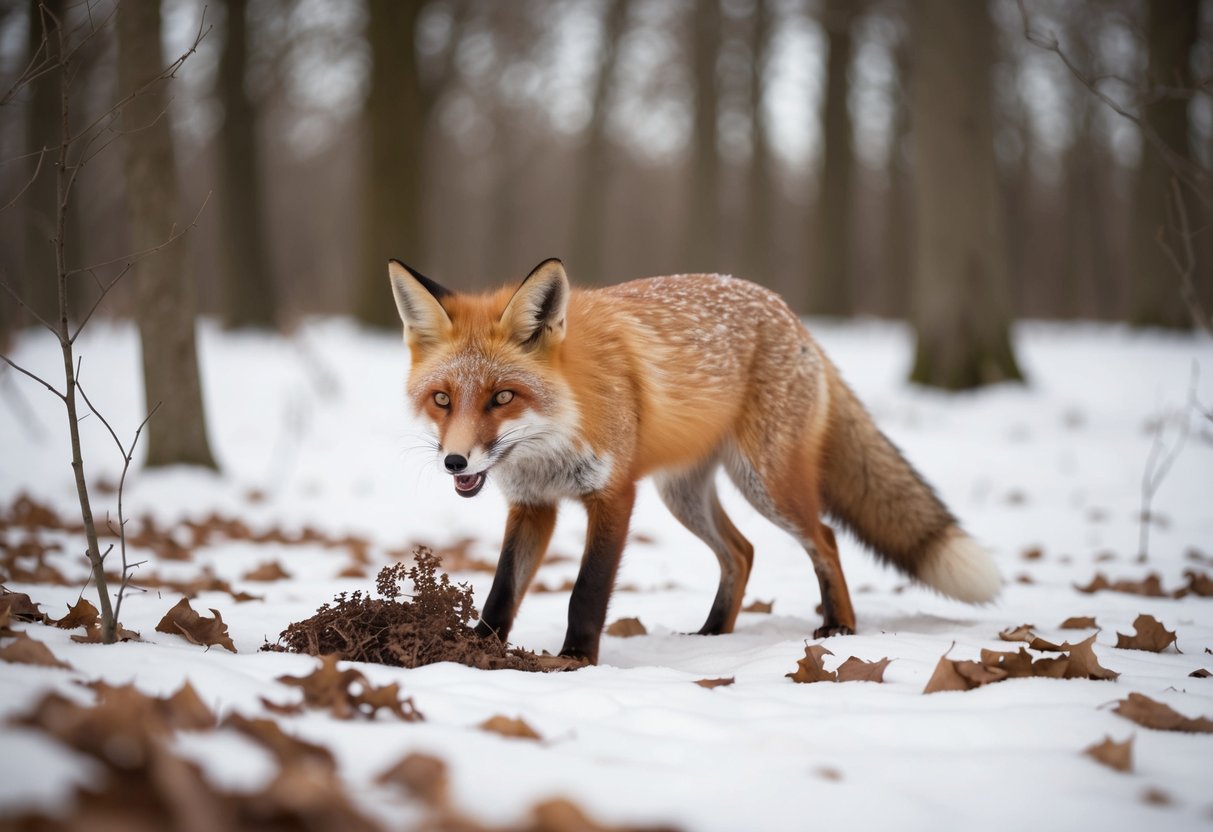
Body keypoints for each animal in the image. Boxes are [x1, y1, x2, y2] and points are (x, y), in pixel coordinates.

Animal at [388, 257, 1002, 666]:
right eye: (442, 399)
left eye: (502, 397)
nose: (455, 461)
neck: (553, 438)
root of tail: (790, 314)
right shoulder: (533, 505)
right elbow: (502, 592)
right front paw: (474, 652)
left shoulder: (614, 494)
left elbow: (587, 593)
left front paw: (575, 662)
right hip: (684, 495)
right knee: (742, 551)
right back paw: (713, 634)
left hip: (765, 484)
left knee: (824, 538)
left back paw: (838, 627)